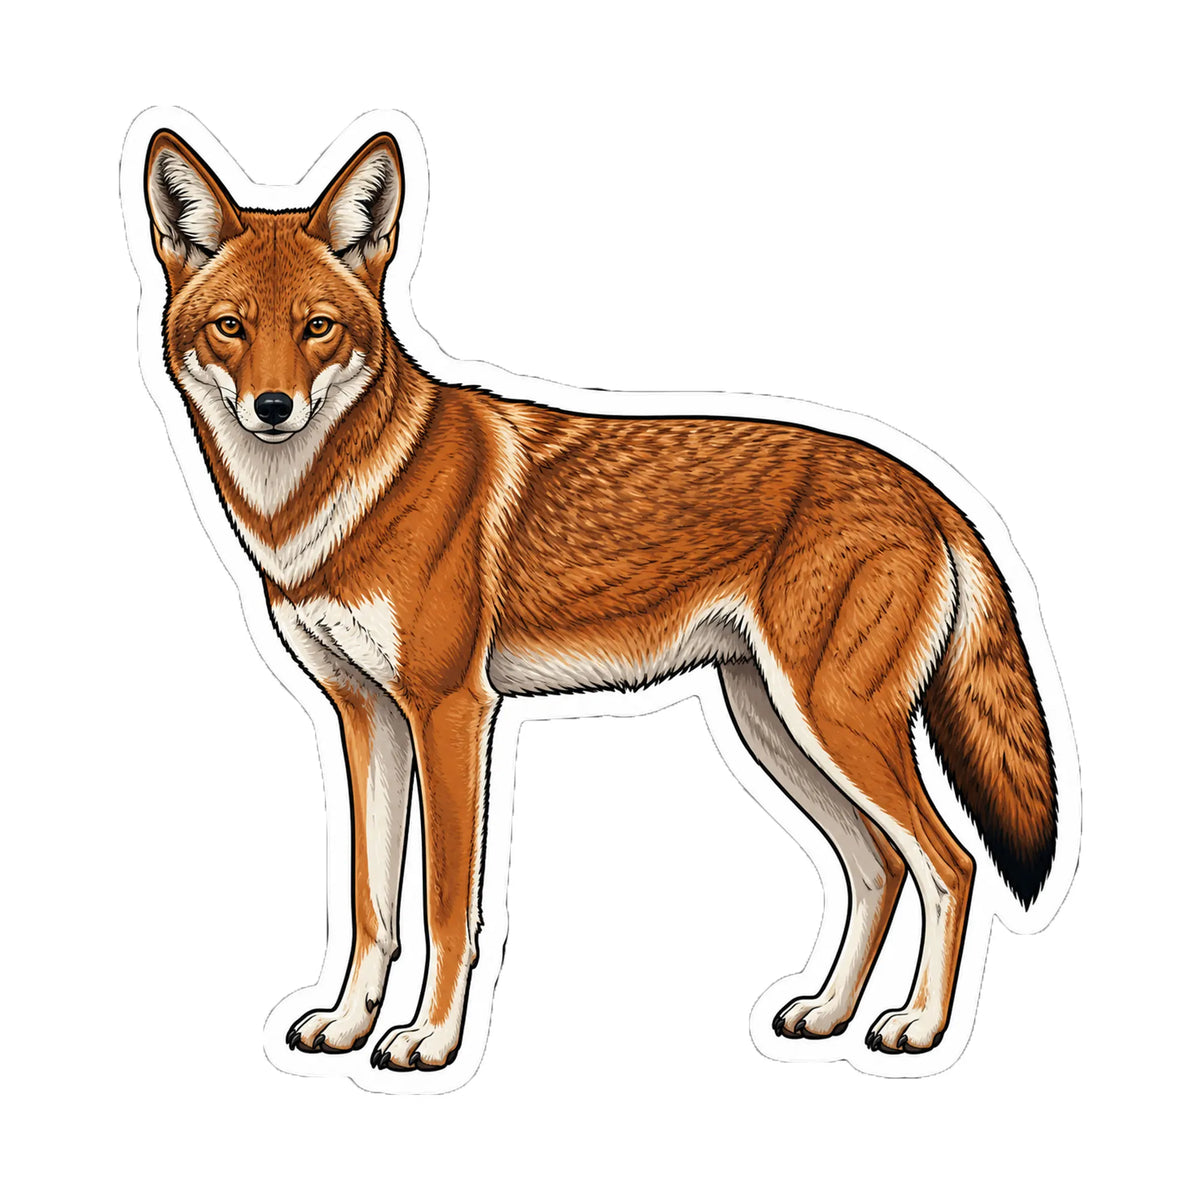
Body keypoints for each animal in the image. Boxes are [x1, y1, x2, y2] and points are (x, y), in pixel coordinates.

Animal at [143, 128, 1056, 1071]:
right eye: (232, 328)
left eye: (317, 328)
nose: (273, 406)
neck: (327, 505)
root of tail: (930, 490)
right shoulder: (367, 717)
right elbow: (371, 906)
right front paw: (349, 1024)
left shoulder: (451, 711)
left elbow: (444, 908)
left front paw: (429, 1040)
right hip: (777, 726)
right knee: (878, 864)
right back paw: (827, 1013)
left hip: (834, 721)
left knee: (950, 864)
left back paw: (920, 1026)